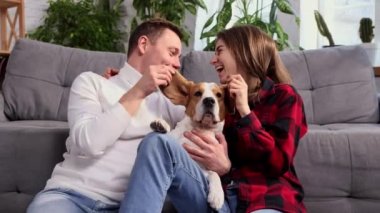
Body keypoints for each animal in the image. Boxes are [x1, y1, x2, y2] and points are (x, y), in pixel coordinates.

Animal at [151, 71, 226, 210]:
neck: (200, 128)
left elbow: (215, 173)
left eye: (219, 95)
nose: (209, 100)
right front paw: (162, 125)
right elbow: (169, 133)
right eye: (197, 93)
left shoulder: (200, 168)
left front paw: (217, 195)